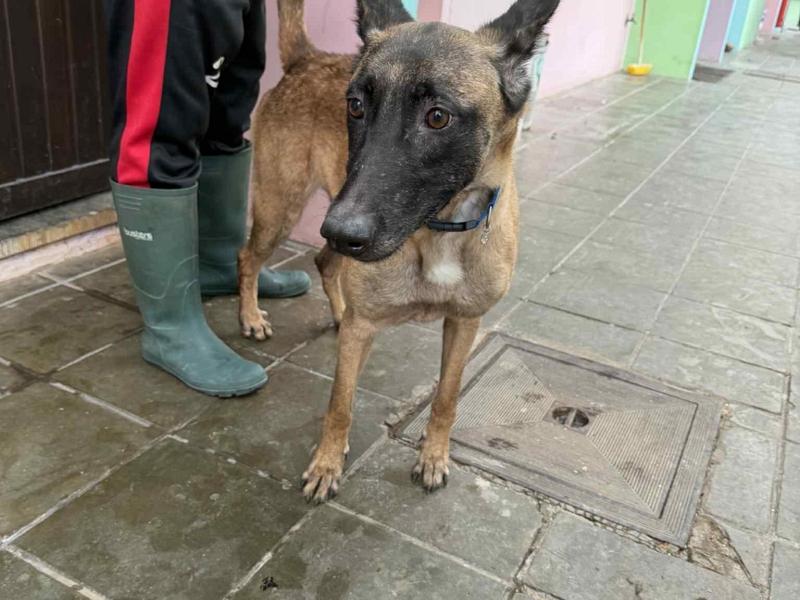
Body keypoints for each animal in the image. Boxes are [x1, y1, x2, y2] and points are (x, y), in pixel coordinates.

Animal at [238, 0, 560, 502]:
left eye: (437, 116)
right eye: (355, 106)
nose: (339, 229)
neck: (441, 228)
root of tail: (308, 59)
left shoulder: (465, 323)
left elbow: (447, 397)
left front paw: (434, 455)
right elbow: (340, 403)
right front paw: (327, 464)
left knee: (324, 262)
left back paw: (336, 310)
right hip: (283, 206)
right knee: (249, 258)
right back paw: (251, 317)